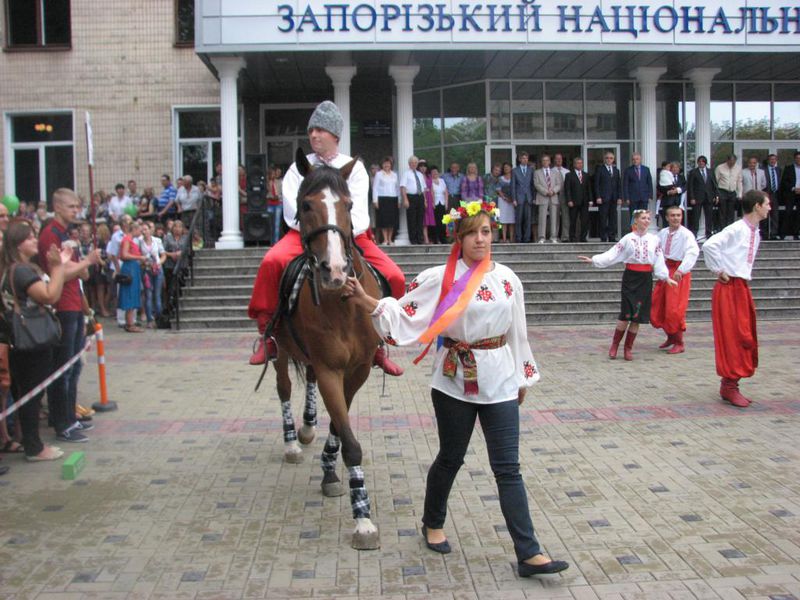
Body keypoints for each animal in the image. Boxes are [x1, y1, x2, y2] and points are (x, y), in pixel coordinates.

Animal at [274, 149, 382, 548]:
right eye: (305, 205)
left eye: (349, 205)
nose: (334, 270)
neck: (342, 304)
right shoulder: (329, 369)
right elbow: (348, 437)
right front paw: (362, 518)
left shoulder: (357, 370)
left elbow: (340, 422)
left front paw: (330, 470)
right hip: (278, 348)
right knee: (284, 387)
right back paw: (293, 441)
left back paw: (307, 428)